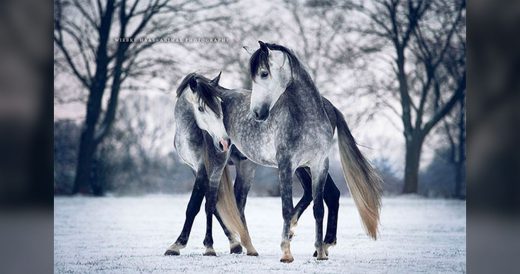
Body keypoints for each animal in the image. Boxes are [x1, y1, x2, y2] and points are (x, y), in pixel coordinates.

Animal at [165, 73, 258, 256]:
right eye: (201, 109)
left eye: (220, 106)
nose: (225, 143)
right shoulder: (195, 168)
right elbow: (211, 206)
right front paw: (233, 243)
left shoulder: (209, 169)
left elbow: (201, 205)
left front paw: (196, 245)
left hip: (247, 168)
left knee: (240, 204)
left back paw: (250, 245)